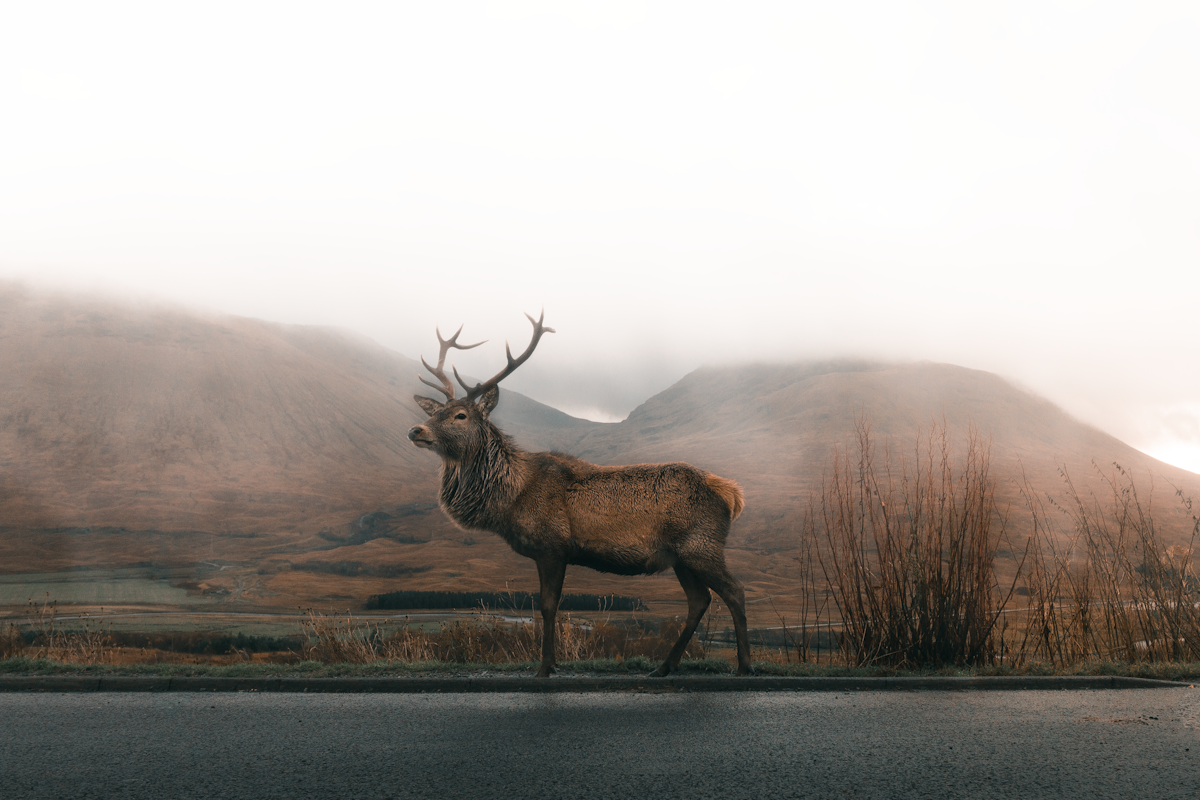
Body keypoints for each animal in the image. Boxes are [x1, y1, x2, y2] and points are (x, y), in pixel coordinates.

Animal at [407, 311, 752, 677]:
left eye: (460, 415)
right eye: (433, 412)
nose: (416, 430)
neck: (510, 500)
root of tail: (732, 494)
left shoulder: (553, 546)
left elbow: (547, 606)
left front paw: (545, 667)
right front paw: (552, 662)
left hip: (702, 545)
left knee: (734, 590)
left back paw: (744, 665)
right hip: (681, 556)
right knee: (700, 600)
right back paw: (663, 666)